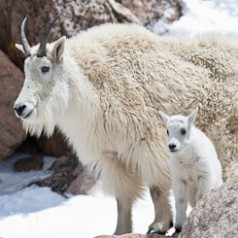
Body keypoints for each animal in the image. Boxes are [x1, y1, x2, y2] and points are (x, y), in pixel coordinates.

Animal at [13, 17, 238, 235]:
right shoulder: (112, 155)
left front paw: (159, 224)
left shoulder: (149, 142)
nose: (20, 107)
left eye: (45, 68)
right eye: (25, 70)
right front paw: (120, 230)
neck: (91, 89)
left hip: (227, 135)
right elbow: (122, 198)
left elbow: (156, 187)